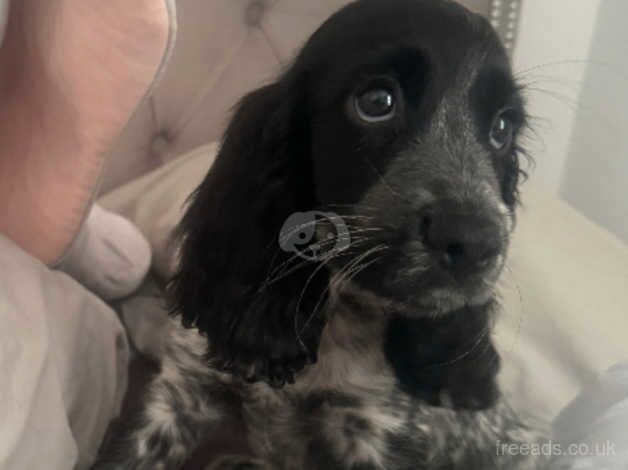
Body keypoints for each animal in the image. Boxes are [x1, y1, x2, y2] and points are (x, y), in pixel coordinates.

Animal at [95, 0, 548, 470]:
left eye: (502, 130)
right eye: (377, 102)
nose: (476, 243)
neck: (337, 310)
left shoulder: (373, 435)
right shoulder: (182, 394)